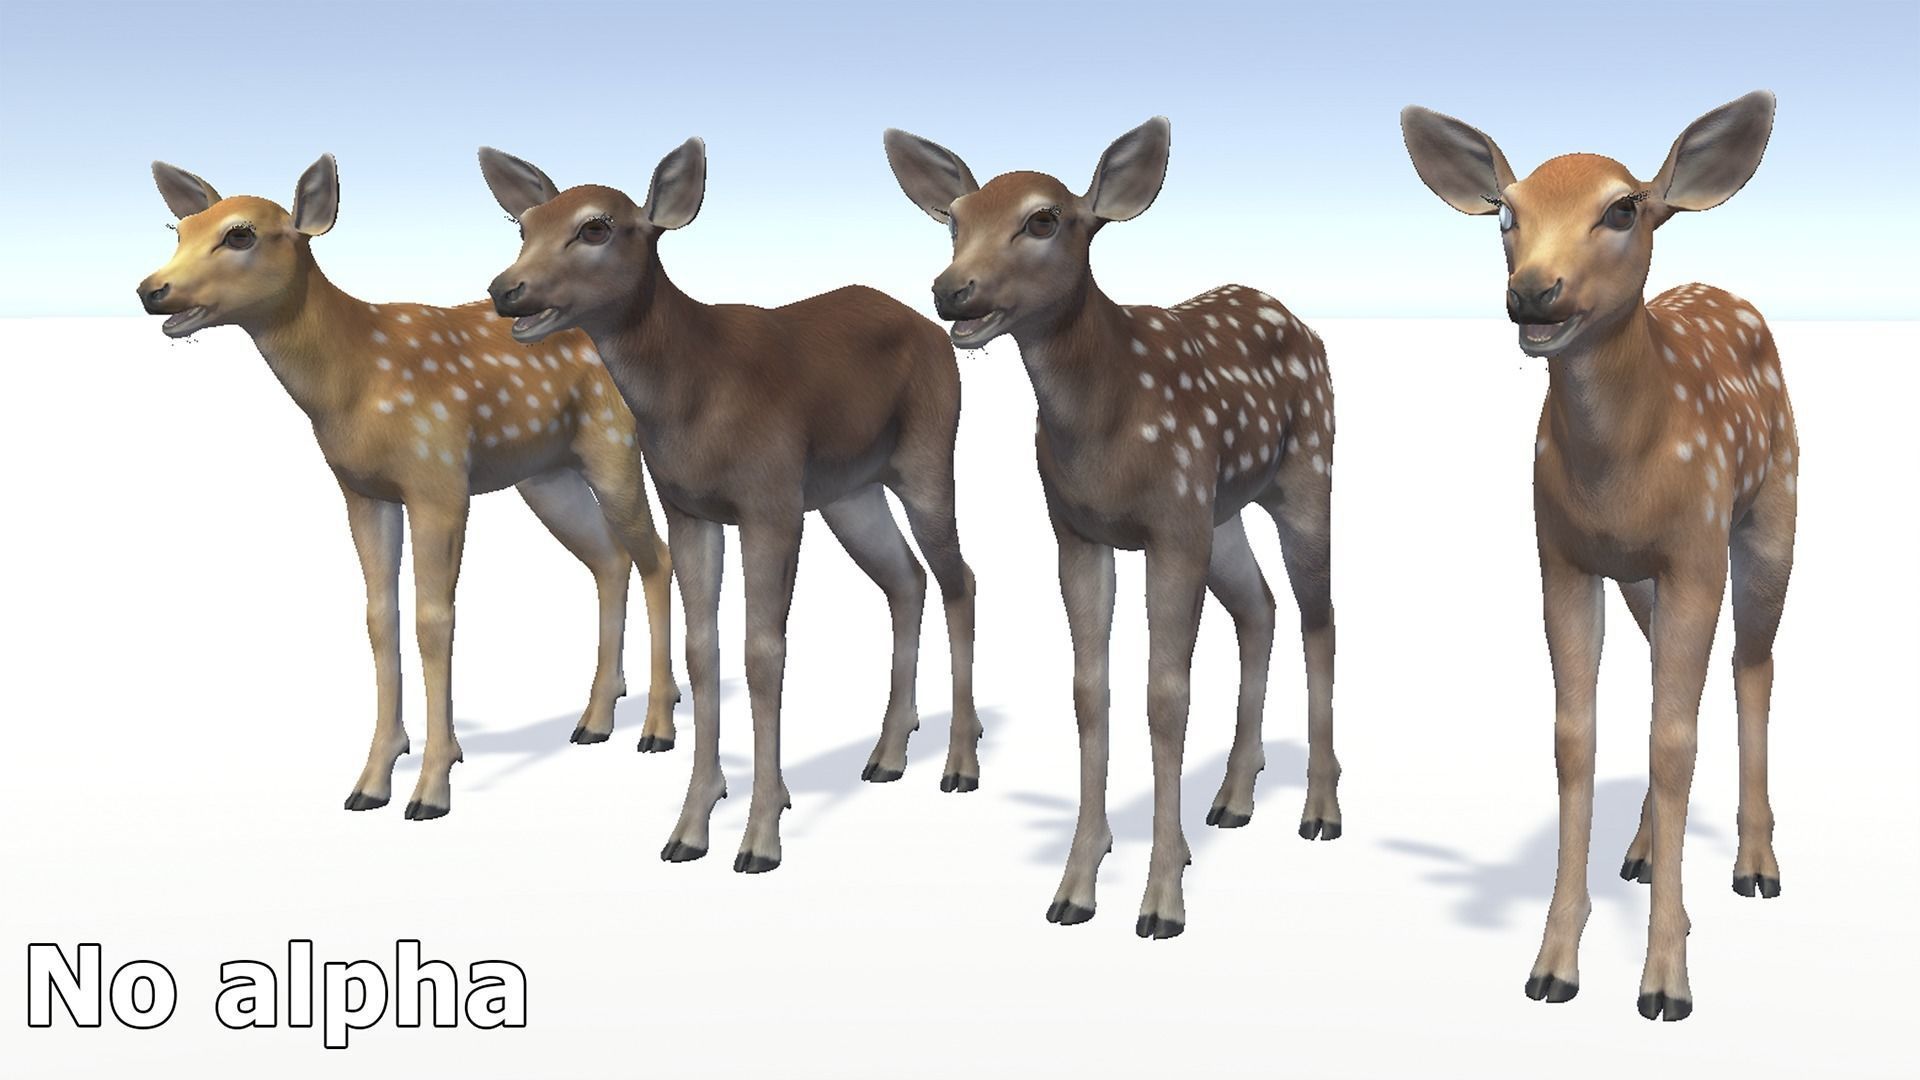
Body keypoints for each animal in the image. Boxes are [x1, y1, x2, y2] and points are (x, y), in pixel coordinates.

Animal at [136, 154, 681, 821]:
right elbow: (379, 618)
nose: (151, 290)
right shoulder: (363, 492)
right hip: (545, 474)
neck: (353, 380)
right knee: (609, 558)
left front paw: (432, 786)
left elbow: (434, 620)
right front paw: (373, 778)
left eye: (240, 234)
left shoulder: (438, 478)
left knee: (654, 555)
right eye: (180, 231)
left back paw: (657, 725)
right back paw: (595, 719)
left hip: (612, 442)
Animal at [478, 139, 980, 874]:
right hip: (849, 493)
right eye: (524, 226)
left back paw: (960, 764)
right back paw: (887, 756)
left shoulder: (769, 502)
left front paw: (761, 837)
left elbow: (763, 652)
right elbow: (702, 648)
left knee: (957, 577)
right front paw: (690, 827)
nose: (505, 290)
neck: (696, 387)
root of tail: (934, 332)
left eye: (597, 227)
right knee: (906, 579)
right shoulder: (691, 508)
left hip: (926, 458)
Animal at [885, 117, 1341, 940]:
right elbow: (1088, 691)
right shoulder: (1078, 530)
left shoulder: (1169, 529)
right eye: (954, 220)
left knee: (1318, 616)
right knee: (1260, 606)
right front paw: (1076, 884)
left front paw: (1161, 901)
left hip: (1303, 475)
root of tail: (1296, 319)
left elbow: (1166, 697)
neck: (1108, 416)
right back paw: (1233, 799)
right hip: (1218, 510)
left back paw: (1320, 810)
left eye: (1043, 219)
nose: (949, 289)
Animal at [1401, 91, 1794, 1020]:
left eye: (1622, 209)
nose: (1532, 292)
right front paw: (1553, 964)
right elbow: (1575, 737)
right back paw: (1643, 851)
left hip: (1771, 509)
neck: (1619, 473)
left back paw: (1757, 866)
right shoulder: (1562, 556)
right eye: (1506, 213)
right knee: (1669, 675)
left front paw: (1666, 981)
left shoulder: (1694, 552)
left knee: (1753, 661)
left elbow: (1675, 740)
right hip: (1641, 581)